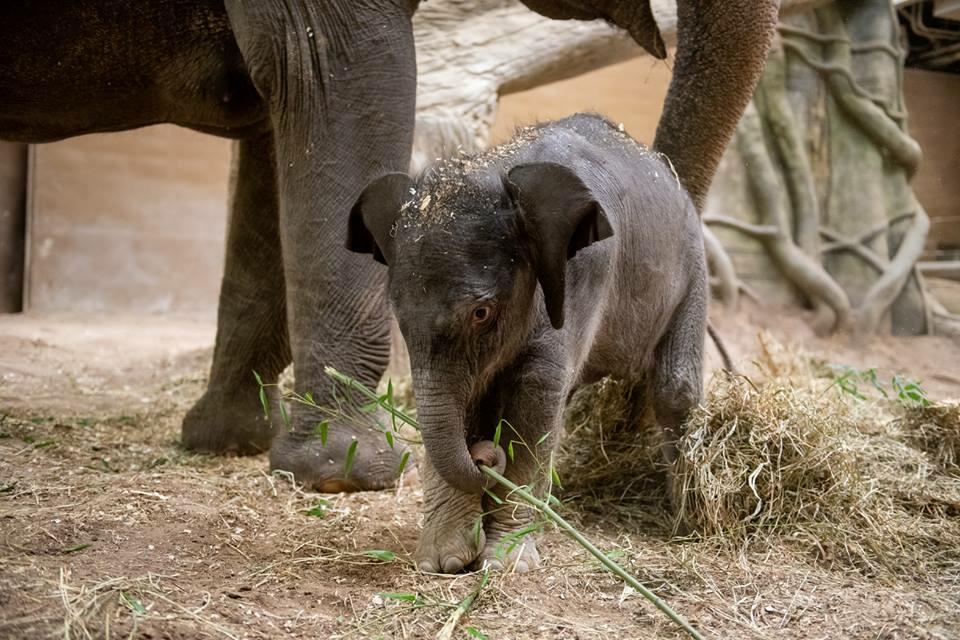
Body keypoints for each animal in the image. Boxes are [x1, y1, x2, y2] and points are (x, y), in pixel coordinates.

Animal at [348, 113, 707, 572]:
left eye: (481, 313)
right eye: (397, 314)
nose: (483, 457)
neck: (494, 171)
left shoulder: (583, 273)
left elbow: (535, 395)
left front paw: (505, 562)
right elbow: (473, 399)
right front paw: (444, 561)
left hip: (693, 267)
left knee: (674, 389)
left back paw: (685, 522)